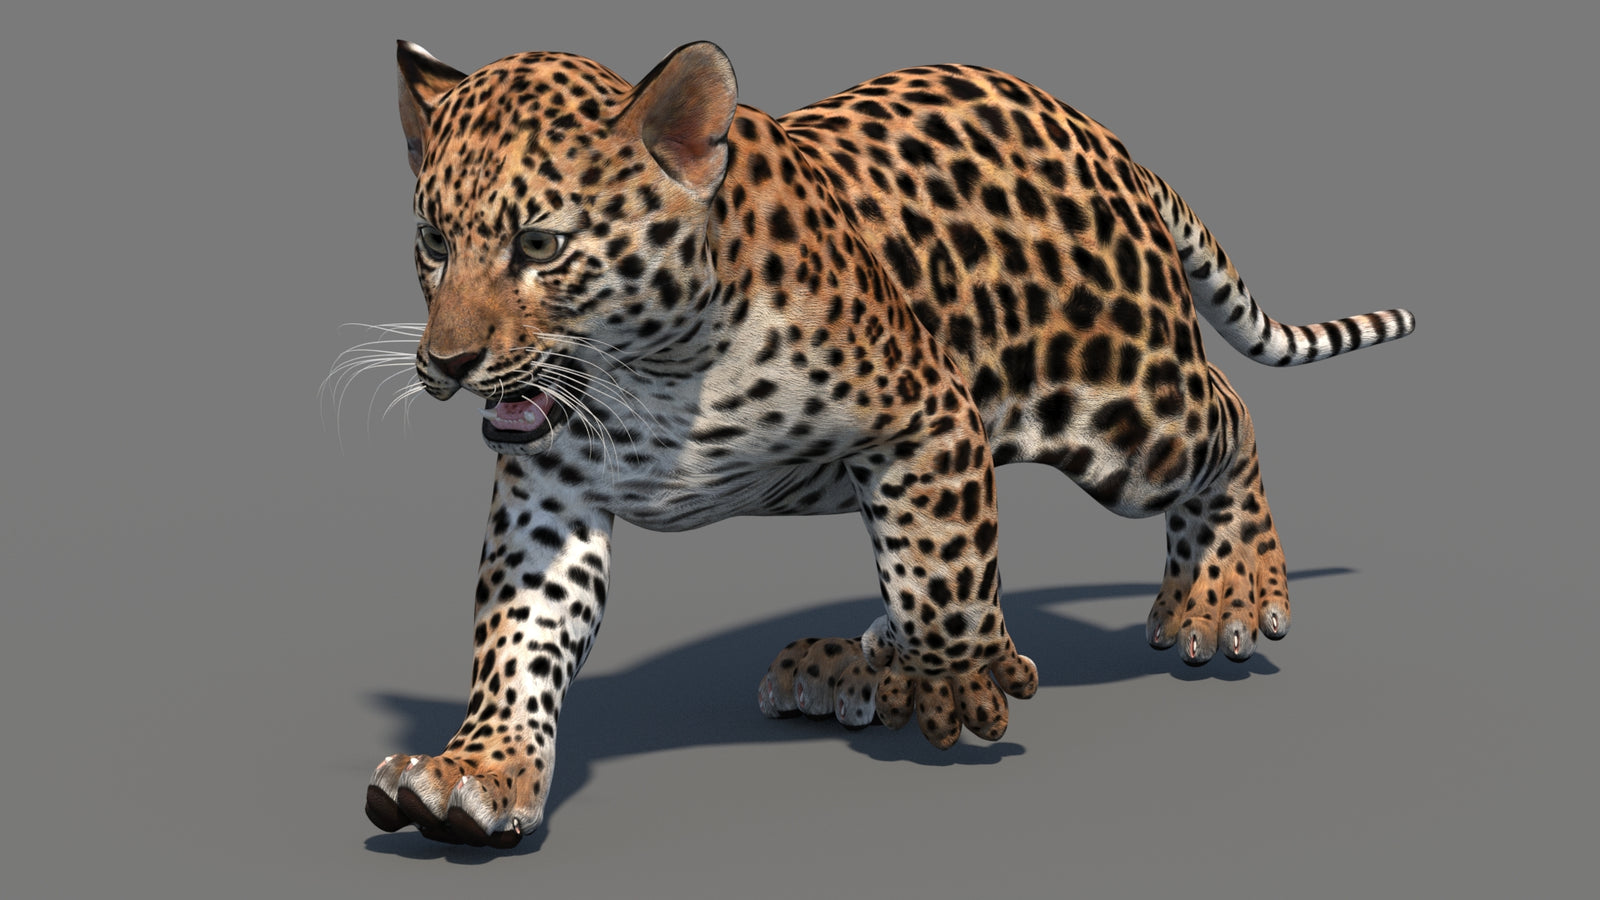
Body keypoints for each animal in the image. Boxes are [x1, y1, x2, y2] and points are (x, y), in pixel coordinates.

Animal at [357, 39, 1415, 848]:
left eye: (540, 246)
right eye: (433, 242)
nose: (446, 362)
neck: (650, 373)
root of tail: (1108, 142)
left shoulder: (928, 413)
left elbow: (941, 577)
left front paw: (959, 689)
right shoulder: (552, 493)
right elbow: (523, 635)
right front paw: (480, 771)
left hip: (1132, 411)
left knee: (1230, 413)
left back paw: (1221, 596)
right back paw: (852, 666)